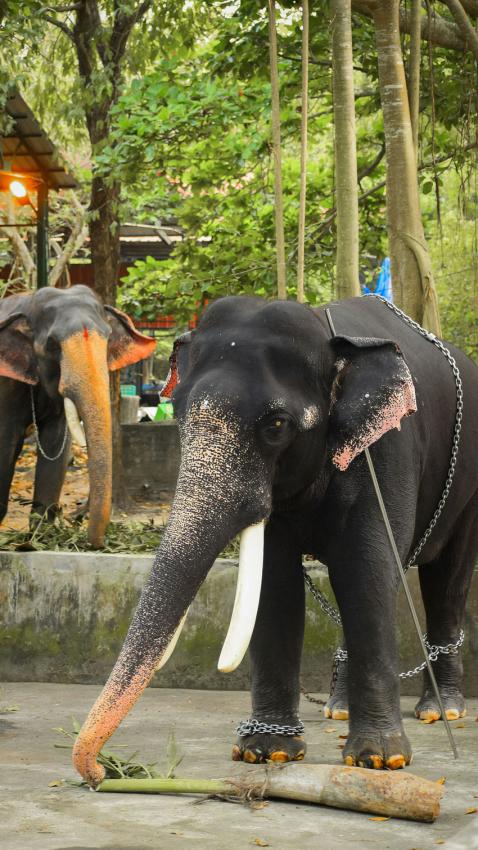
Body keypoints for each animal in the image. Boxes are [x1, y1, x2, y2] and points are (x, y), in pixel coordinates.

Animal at [0, 285, 156, 547]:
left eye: (108, 338)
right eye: (52, 345)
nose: (95, 543)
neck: (28, 303)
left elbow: (55, 447)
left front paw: (40, 539)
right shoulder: (5, 385)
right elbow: (6, 444)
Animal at [72, 294, 478, 784]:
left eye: (277, 424)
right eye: (180, 413)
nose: (100, 772)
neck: (329, 336)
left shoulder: (386, 452)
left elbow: (368, 573)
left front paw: (381, 760)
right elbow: (276, 584)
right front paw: (267, 752)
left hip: (468, 487)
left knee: (446, 578)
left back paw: (442, 712)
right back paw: (338, 710)